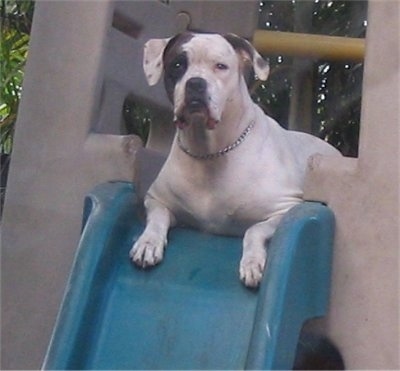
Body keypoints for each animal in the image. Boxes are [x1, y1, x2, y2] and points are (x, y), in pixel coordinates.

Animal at [129, 32, 340, 288]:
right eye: (178, 65)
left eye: (221, 66)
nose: (196, 83)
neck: (210, 151)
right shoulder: (157, 199)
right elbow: (157, 219)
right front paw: (147, 243)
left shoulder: (286, 207)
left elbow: (254, 230)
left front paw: (252, 263)